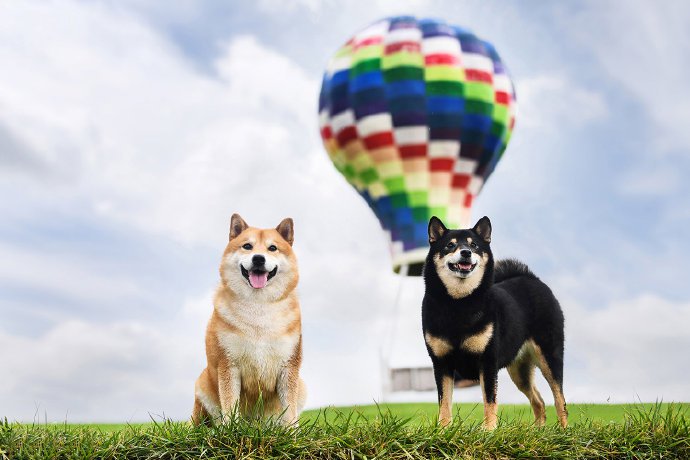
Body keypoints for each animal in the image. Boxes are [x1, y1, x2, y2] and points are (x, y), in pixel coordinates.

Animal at [189, 214, 306, 426]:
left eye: (272, 248)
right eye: (247, 246)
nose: (258, 258)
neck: (258, 307)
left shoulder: (289, 366)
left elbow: (289, 409)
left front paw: (292, 431)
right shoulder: (228, 364)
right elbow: (230, 403)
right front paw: (231, 429)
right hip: (202, 384)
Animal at [420, 216, 564, 428]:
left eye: (474, 245)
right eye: (450, 245)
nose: (465, 252)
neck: (459, 303)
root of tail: (532, 278)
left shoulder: (487, 361)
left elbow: (489, 400)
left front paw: (488, 429)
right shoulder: (441, 362)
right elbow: (444, 401)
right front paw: (444, 428)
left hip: (549, 356)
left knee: (559, 399)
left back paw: (563, 430)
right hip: (519, 370)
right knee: (539, 401)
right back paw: (538, 430)